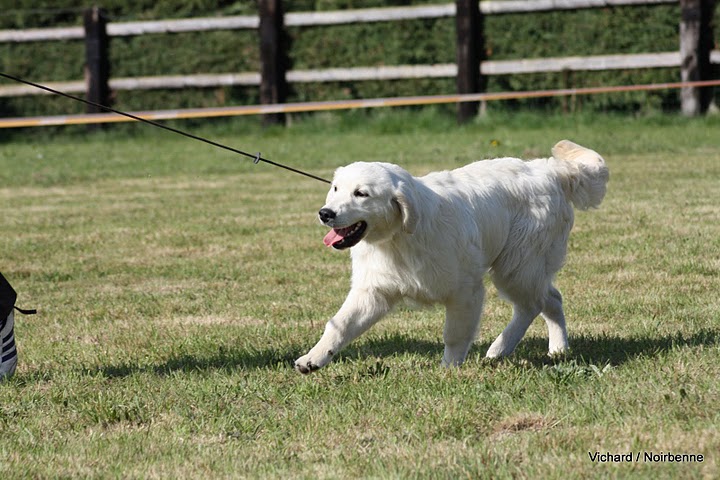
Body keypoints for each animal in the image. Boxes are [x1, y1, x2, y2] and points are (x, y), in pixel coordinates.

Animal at [296, 141, 612, 374]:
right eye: (336, 188)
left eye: (361, 194)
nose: (325, 213)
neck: (398, 238)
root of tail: (549, 169)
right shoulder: (373, 292)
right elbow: (340, 325)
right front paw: (313, 359)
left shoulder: (465, 291)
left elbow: (455, 335)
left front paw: (449, 370)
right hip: (525, 268)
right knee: (551, 298)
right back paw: (557, 348)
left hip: (516, 267)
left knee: (531, 305)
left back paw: (499, 349)